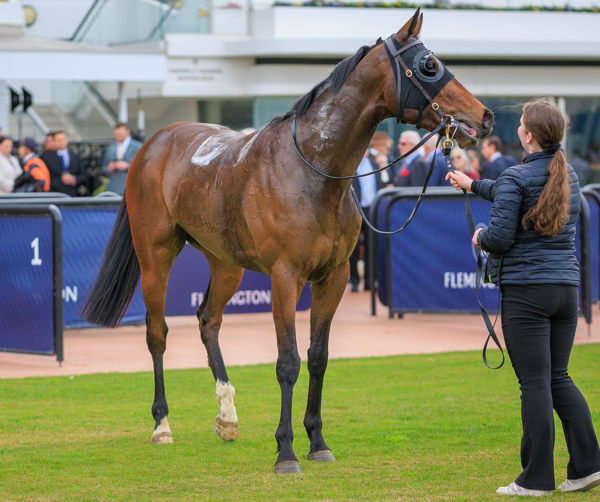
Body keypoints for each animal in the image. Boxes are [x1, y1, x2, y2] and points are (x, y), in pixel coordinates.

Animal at [81, 8, 492, 474]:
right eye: (429, 65)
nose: (485, 117)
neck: (312, 171)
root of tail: (153, 142)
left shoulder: (334, 276)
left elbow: (318, 357)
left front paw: (318, 442)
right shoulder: (285, 277)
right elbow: (288, 361)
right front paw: (286, 450)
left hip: (226, 263)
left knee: (208, 320)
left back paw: (227, 416)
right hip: (155, 255)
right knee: (157, 333)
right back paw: (162, 425)